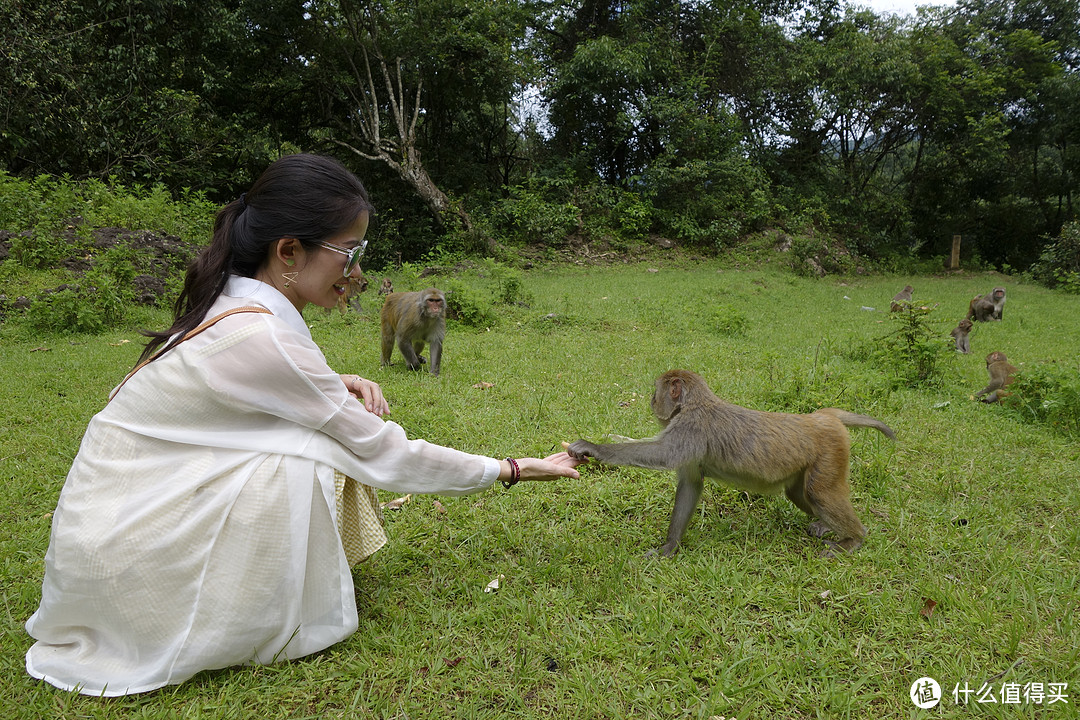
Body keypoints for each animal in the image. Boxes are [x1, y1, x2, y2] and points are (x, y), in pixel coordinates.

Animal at [565, 369, 894, 561]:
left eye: (655, 391)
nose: (650, 400)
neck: (694, 403)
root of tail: (822, 417)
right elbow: (690, 484)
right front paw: (671, 547)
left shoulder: (690, 429)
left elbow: (663, 455)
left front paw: (594, 447)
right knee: (801, 495)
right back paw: (830, 525)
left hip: (830, 454)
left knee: (820, 494)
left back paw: (854, 538)